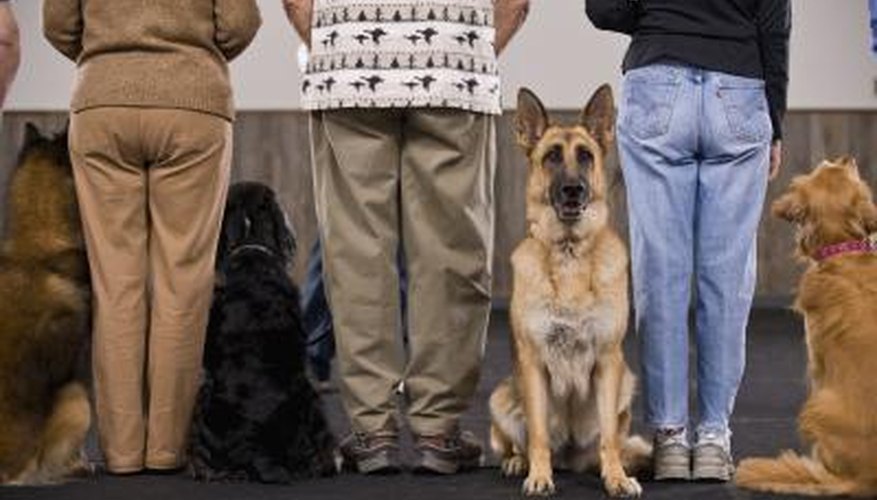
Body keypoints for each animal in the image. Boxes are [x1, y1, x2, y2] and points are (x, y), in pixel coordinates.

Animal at [490, 86, 648, 496]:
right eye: (552, 157)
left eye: (586, 156)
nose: (573, 190)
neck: (570, 254)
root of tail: (571, 458)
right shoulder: (533, 364)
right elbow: (538, 435)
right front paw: (538, 476)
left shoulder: (608, 362)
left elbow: (609, 437)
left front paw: (616, 478)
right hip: (502, 397)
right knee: (519, 442)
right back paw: (519, 462)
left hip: (625, 384)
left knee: (611, 442)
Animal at [732, 157, 876, 496]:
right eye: (830, 165)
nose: (847, 157)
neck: (843, 251)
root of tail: (865, 479)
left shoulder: (816, 360)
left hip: (817, 405)